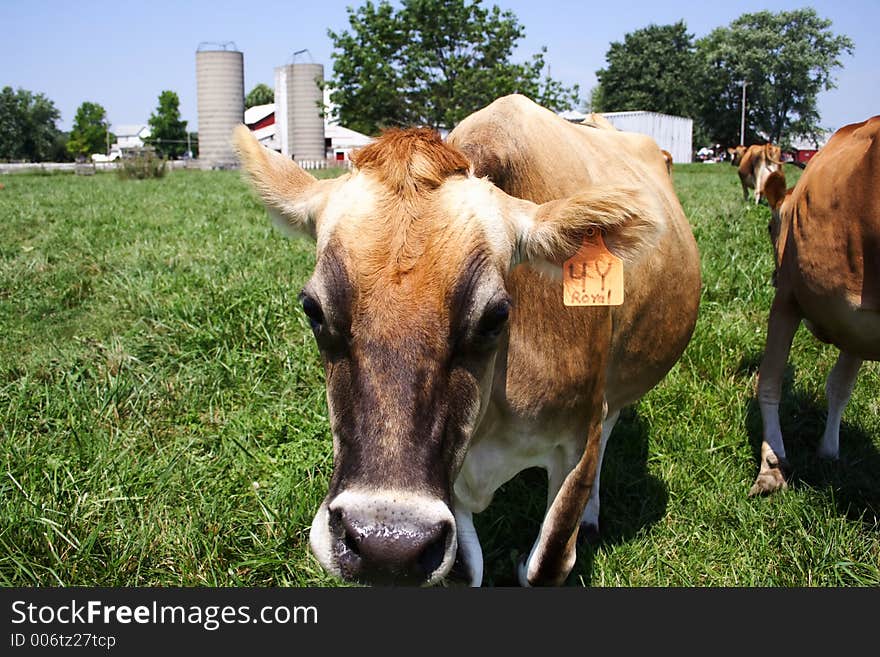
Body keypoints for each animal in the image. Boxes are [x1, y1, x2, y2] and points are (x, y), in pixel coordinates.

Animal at [232, 95, 700, 588]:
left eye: (496, 315)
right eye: (313, 309)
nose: (385, 544)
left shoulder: (579, 433)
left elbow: (547, 563)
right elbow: (460, 570)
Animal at [748, 115, 880, 494]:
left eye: (769, 226)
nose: (773, 275)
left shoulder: (790, 297)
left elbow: (772, 381)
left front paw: (773, 463)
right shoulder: (858, 323)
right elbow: (837, 387)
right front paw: (824, 452)